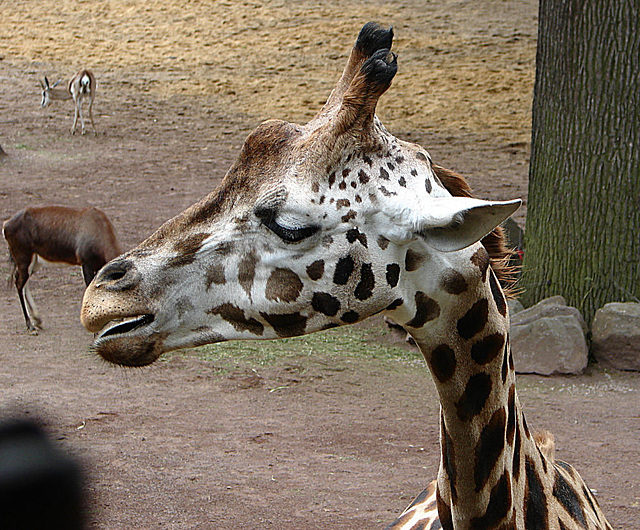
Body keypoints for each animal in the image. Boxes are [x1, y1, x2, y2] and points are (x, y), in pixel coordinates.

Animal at [3, 204, 122, 332]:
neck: (97, 223)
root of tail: (7, 224)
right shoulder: (86, 265)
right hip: (24, 260)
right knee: (19, 283)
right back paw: (30, 326)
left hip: (34, 263)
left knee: (24, 284)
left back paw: (37, 320)